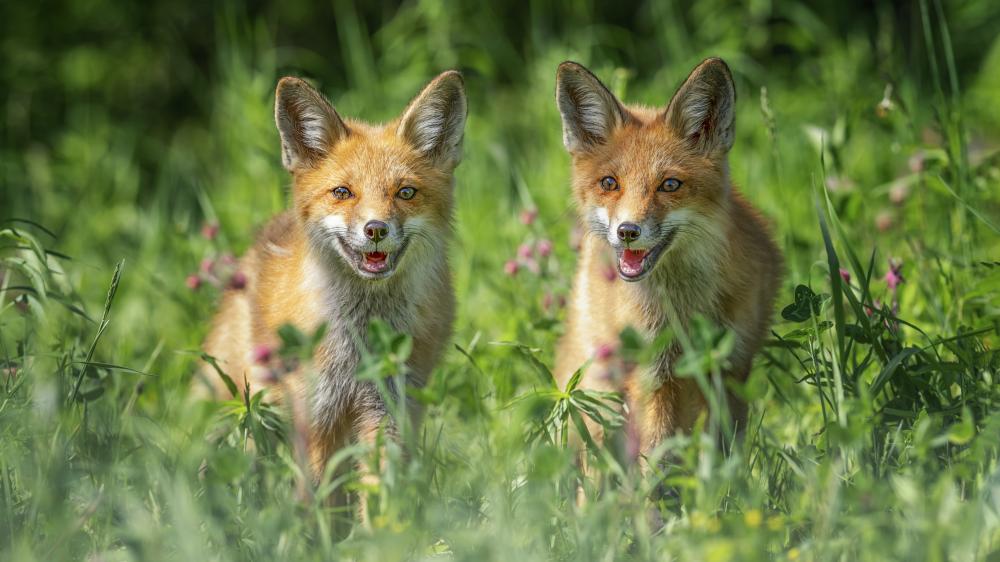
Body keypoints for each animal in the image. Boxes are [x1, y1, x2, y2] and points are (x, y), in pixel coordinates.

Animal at [201, 71, 470, 504]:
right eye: (343, 192)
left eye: (406, 192)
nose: (375, 229)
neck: (359, 344)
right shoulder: (317, 415)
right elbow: (318, 497)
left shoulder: (387, 409)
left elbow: (379, 494)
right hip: (248, 405)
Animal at [556, 59, 780, 458]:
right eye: (610, 183)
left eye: (670, 185)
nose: (627, 231)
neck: (684, 309)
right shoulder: (653, 375)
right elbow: (657, 456)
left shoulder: (731, 367)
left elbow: (723, 453)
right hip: (602, 392)